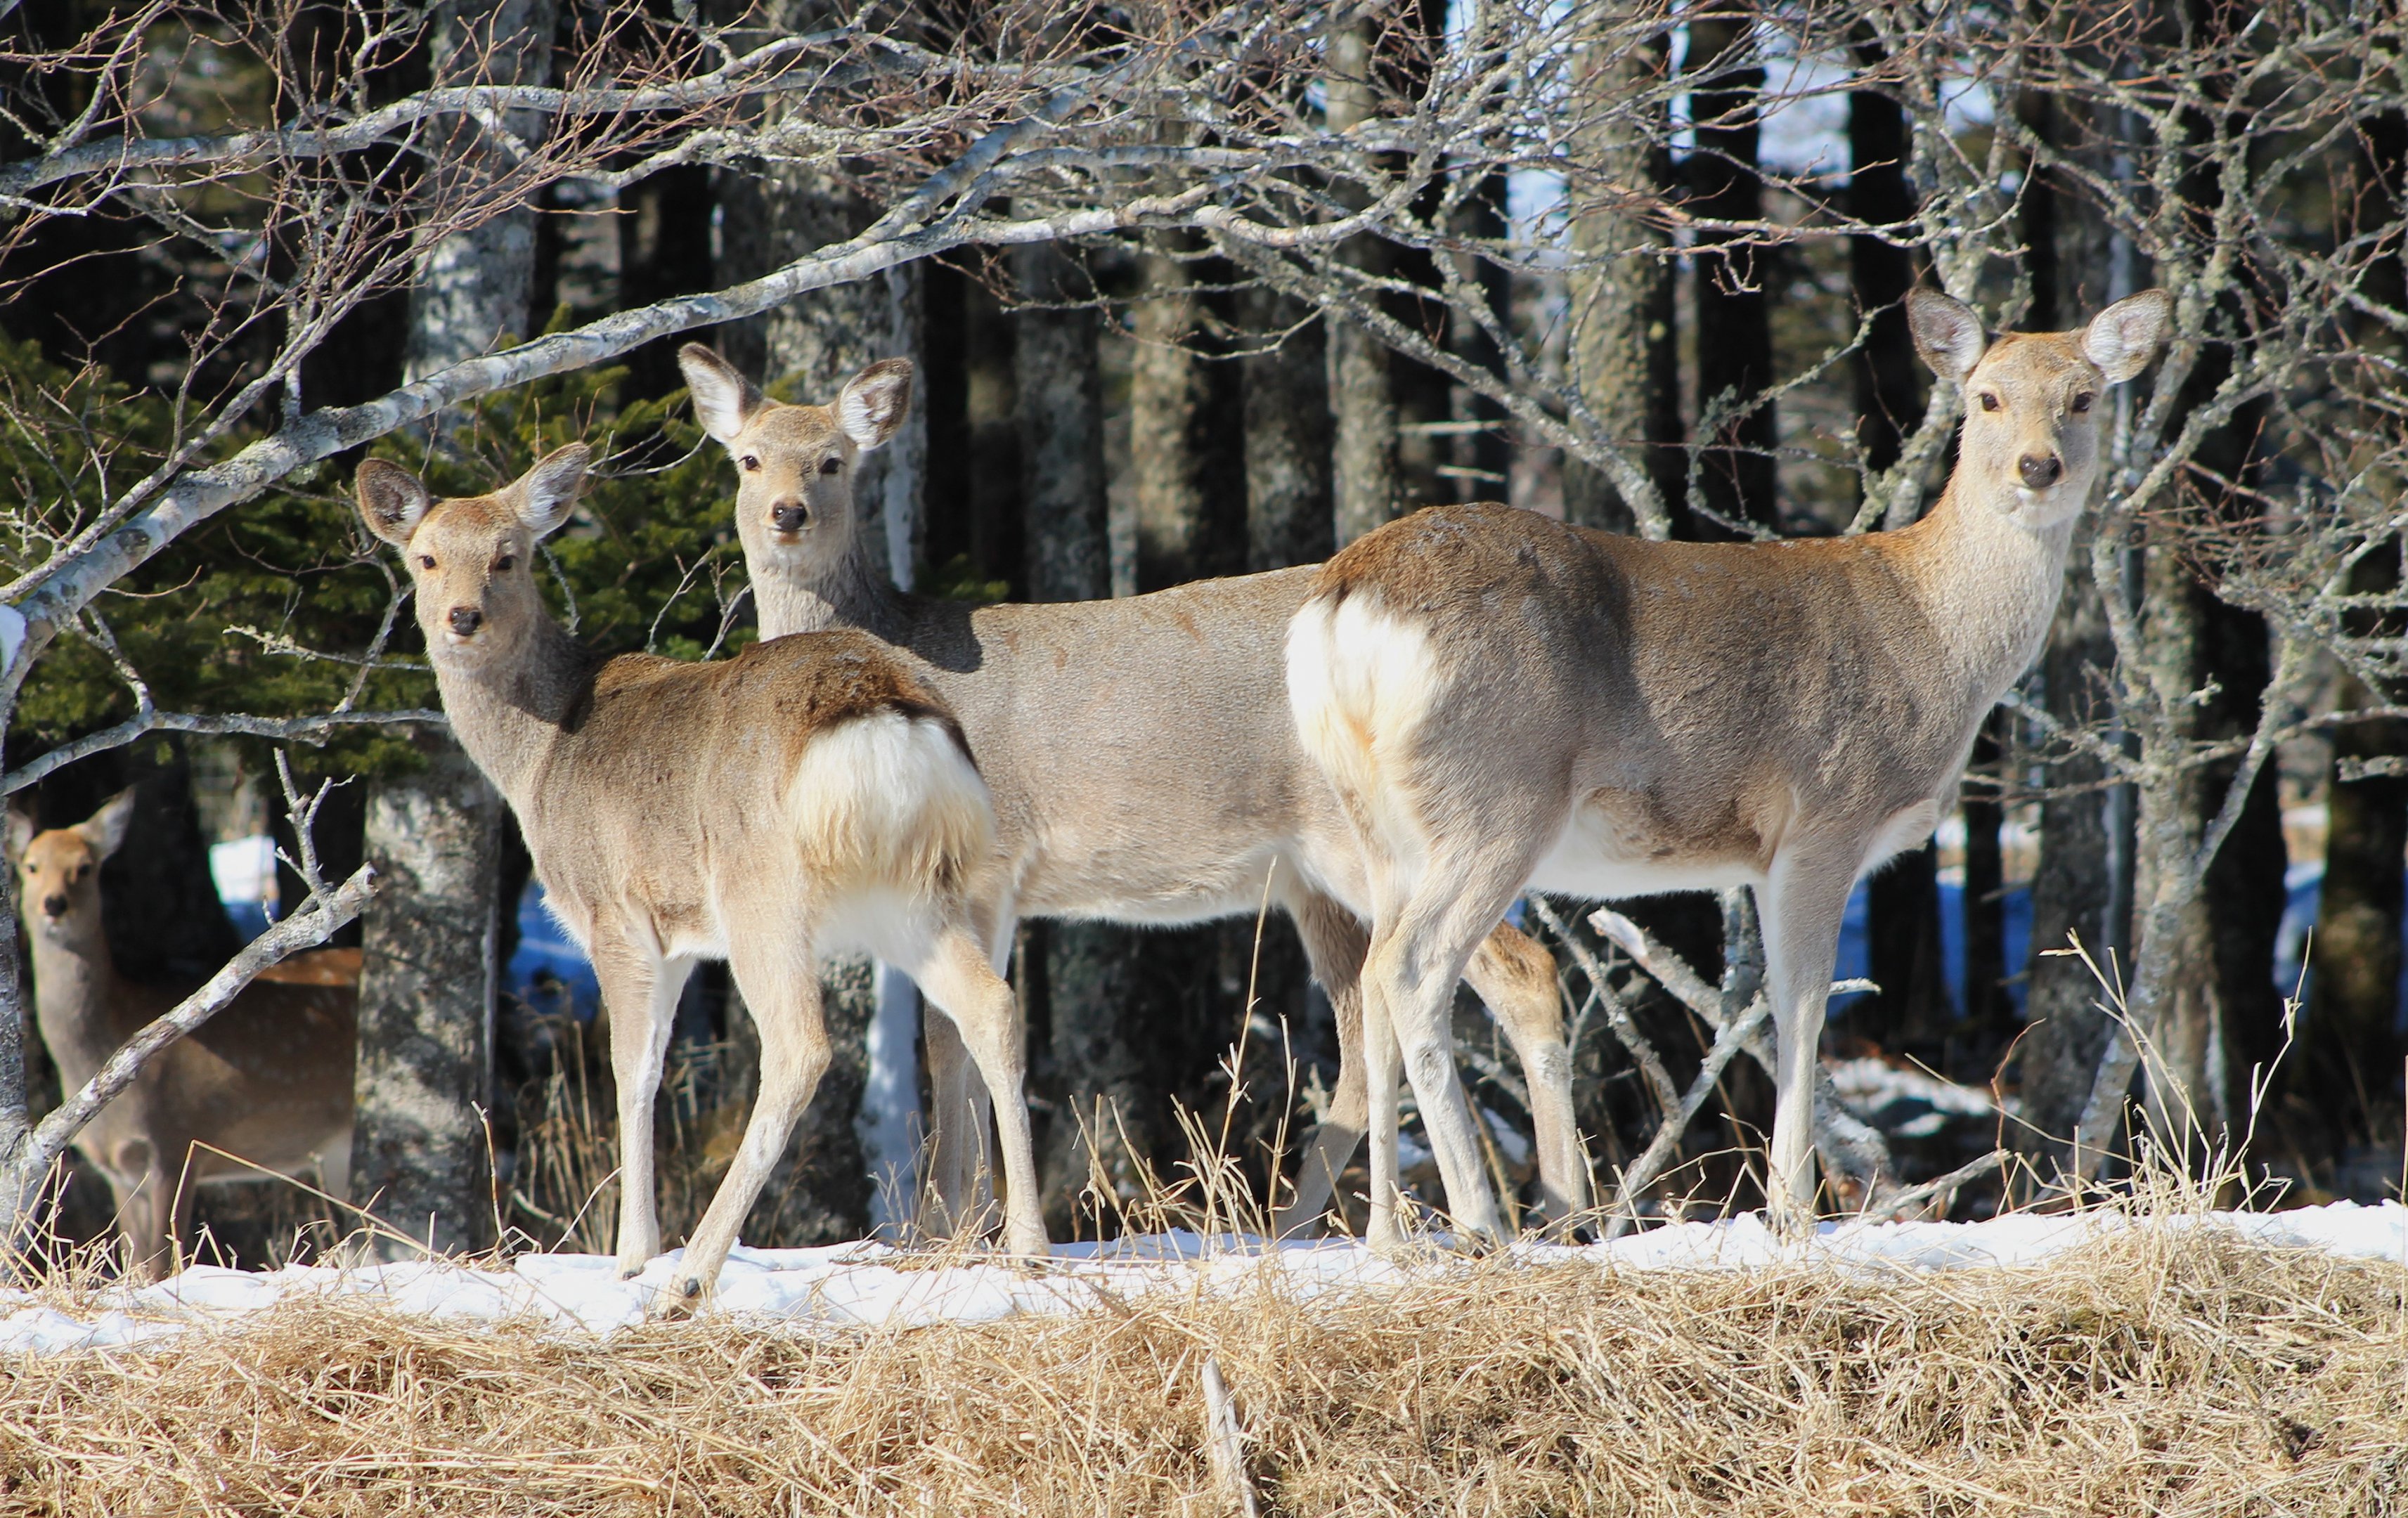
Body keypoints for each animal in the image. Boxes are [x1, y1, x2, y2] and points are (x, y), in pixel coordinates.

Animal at [7, 791, 359, 1279]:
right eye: (31, 866)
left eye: (85, 866)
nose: (54, 905)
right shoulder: (119, 1171)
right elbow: (134, 1263)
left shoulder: (177, 1143)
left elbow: (161, 1263)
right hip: (336, 1154)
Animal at [352, 444, 1047, 1308]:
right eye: (426, 558)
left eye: (509, 557)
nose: (462, 618)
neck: (537, 760)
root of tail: (880, 716)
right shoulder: (680, 936)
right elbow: (653, 1067)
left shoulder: (614, 912)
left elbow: (631, 1070)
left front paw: (631, 1256)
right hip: (913, 895)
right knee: (991, 1006)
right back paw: (1028, 1247)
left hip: (763, 890)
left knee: (800, 1048)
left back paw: (692, 1273)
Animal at [675, 343, 1588, 1240]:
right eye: (748, 459)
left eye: (833, 460)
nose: (787, 511)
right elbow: (954, 1033)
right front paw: (956, 1225)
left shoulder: (990, 862)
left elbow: (950, 1034)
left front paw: (943, 1226)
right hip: (1313, 878)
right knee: (1367, 1024)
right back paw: (1299, 1228)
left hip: (1376, 843)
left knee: (1518, 973)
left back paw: (1555, 1215)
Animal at [1284, 288, 2174, 1246]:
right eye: (1987, 398)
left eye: (2084, 397)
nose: (2039, 467)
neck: (1936, 637)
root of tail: (1343, 602)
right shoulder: (1827, 814)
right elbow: (1804, 1003)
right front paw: (1791, 1210)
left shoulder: (1762, 854)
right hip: (1494, 798)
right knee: (1412, 970)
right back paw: (1483, 1222)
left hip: (1381, 827)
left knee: (1372, 982)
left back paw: (1389, 1234)